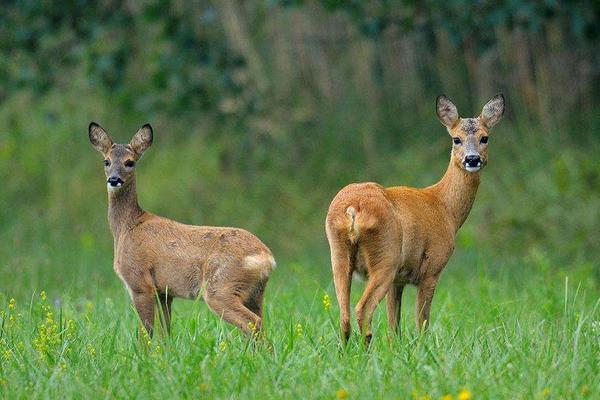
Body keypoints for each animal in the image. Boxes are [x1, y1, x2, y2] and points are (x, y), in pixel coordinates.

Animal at [88, 123, 276, 336]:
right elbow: (166, 332)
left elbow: (146, 333)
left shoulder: (139, 282)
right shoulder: (164, 292)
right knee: (262, 323)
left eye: (130, 162)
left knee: (253, 323)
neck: (127, 227)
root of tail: (267, 258)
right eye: (106, 161)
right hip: (255, 294)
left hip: (220, 287)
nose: (114, 179)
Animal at [326, 94, 504, 344]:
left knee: (344, 317)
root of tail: (353, 209)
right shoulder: (432, 268)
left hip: (339, 255)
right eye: (456, 139)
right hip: (386, 256)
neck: (445, 208)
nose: (472, 159)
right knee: (362, 309)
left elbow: (394, 326)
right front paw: (423, 347)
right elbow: (422, 322)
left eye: (484, 138)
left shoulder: (398, 280)